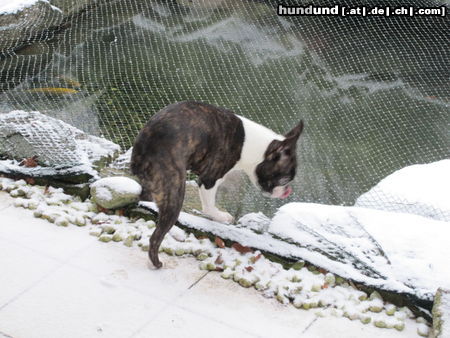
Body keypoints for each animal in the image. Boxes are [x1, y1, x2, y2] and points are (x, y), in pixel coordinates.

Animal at [132, 99, 304, 266]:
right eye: (285, 179)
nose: (287, 190)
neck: (252, 146)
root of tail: (149, 140)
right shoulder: (210, 179)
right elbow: (209, 206)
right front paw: (221, 217)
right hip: (174, 191)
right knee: (156, 236)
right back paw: (157, 262)